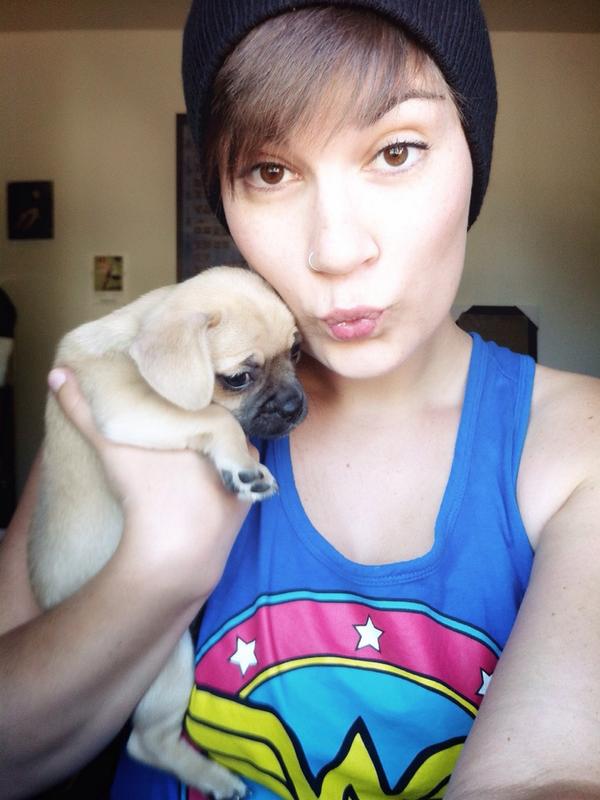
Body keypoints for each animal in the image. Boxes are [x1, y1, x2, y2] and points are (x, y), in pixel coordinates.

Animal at [28, 266, 307, 798]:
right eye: (238, 378)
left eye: (297, 354)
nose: (294, 404)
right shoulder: (127, 405)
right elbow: (211, 414)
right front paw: (242, 464)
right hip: (171, 664)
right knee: (145, 743)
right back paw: (214, 777)